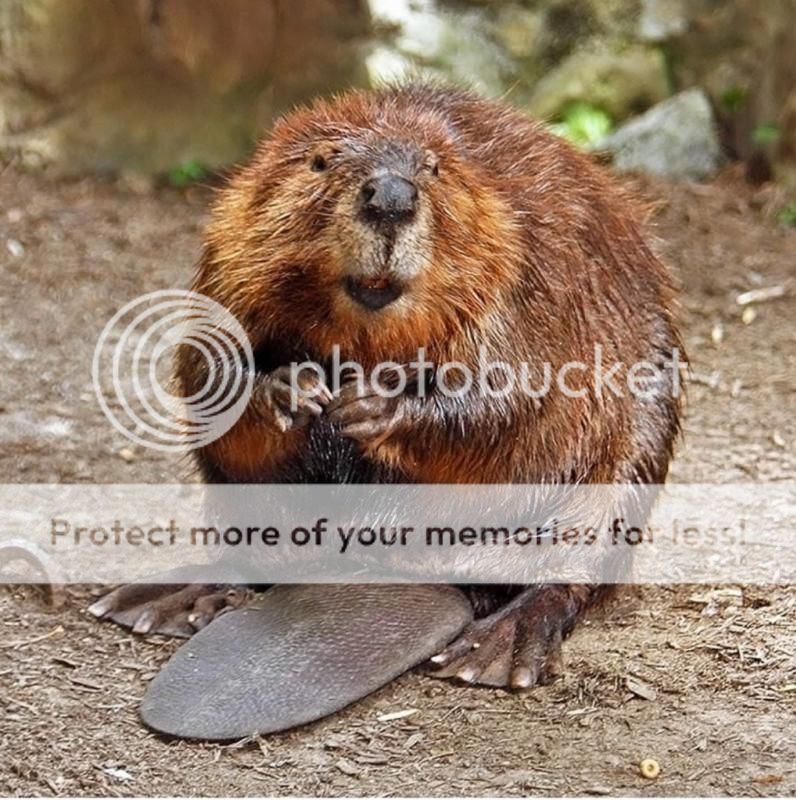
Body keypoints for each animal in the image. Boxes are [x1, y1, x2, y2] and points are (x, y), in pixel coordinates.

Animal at [90, 86, 680, 692]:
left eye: (435, 168)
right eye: (320, 161)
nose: (392, 198)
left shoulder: (532, 264)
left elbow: (515, 393)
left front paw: (370, 404)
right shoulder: (229, 253)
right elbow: (206, 369)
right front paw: (296, 390)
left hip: (636, 443)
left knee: (575, 563)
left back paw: (495, 649)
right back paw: (158, 600)